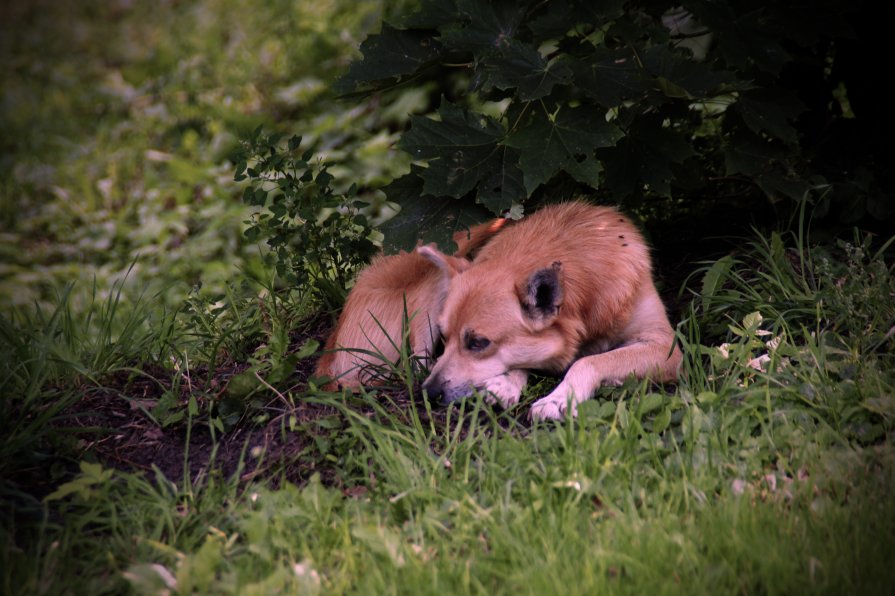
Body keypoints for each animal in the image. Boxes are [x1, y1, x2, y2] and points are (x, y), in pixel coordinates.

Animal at [416, 203, 684, 422]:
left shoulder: (665, 347)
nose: (428, 393)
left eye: (478, 343)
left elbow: (590, 361)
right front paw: (506, 382)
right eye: (444, 337)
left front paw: (558, 399)